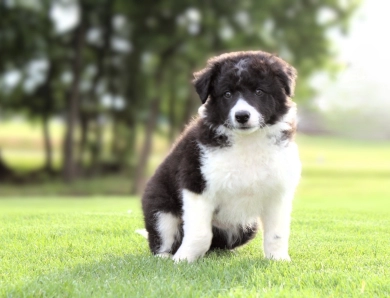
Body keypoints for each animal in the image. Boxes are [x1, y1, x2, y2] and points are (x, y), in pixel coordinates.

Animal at [142, 51, 300, 264]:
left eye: (259, 91)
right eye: (227, 94)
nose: (242, 116)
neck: (247, 142)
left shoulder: (278, 191)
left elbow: (277, 233)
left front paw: (279, 260)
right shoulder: (196, 184)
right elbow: (200, 233)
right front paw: (183, 260)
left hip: (247, 227)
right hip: (160, 208)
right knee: (164, 237)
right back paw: (166, 256)